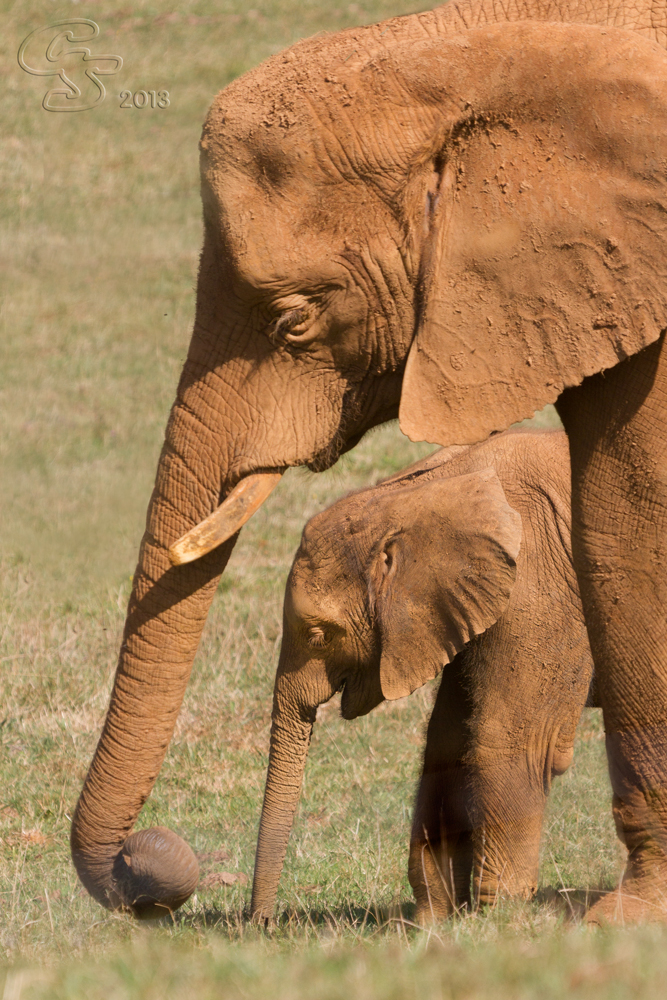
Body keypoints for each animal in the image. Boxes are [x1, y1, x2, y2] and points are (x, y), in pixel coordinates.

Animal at [250, 430, 596, 920]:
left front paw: (500, 919)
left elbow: (512, 740)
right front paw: (437, 919)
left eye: (319, 635)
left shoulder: (542, 585)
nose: (261, 924)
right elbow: (446, 739)